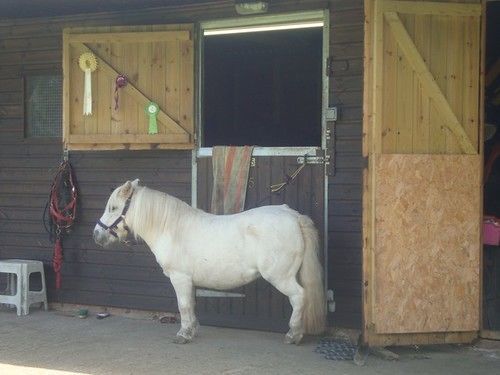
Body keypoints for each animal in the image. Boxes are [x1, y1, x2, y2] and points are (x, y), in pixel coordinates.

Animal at [94, 181, 326, 346]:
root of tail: (293, 215)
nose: (96, 235)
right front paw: (192, 330)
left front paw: (183, 334)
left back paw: (293, 335)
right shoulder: (189, 281)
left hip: (280, 277)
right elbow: (191, 304)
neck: (172, 229)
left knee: (299, 297)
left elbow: (183, 305)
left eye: (113, 207)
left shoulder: (180, 278)